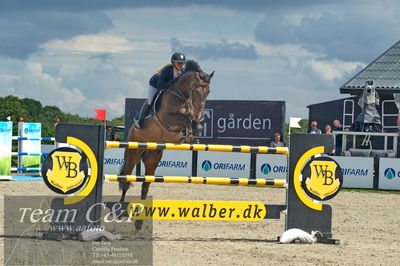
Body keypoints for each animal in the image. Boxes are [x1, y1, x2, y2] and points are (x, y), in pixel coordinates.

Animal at [119, 68, 214, 229]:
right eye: (195, 90)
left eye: (208, 91)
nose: (200, 114)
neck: (182, 97)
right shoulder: (167, 119)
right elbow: (186, 119)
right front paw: (188, 136)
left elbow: (196, 125)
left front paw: (190, 137)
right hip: (133, 153)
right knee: (126, 179)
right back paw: (118, 212)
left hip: (153, 157)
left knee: (145, 185)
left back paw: (139, 223)